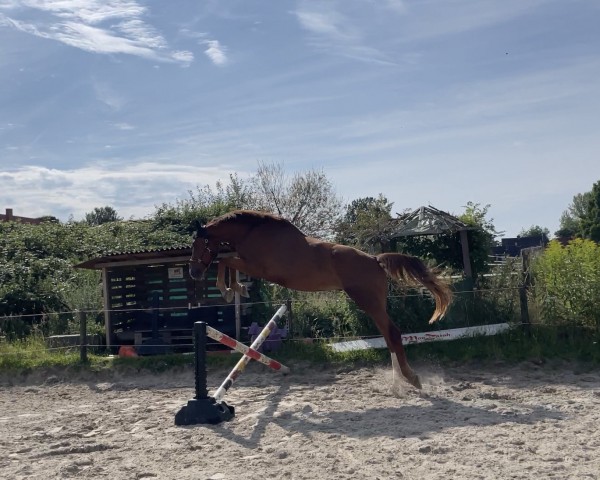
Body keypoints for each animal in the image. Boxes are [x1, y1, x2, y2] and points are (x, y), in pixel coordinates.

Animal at [188, 208, 450, 388]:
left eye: (199, 245)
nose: (194, 272)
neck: (253, 231)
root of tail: (375, 260)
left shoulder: (256, 267)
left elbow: (225, 262)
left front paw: (229, 289)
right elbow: (226, 262)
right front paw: (236, 289)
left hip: (368, 301)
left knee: (393, 333)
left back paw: (411, 378)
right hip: (374, 304)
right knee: (388, 335)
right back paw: (401, 379)